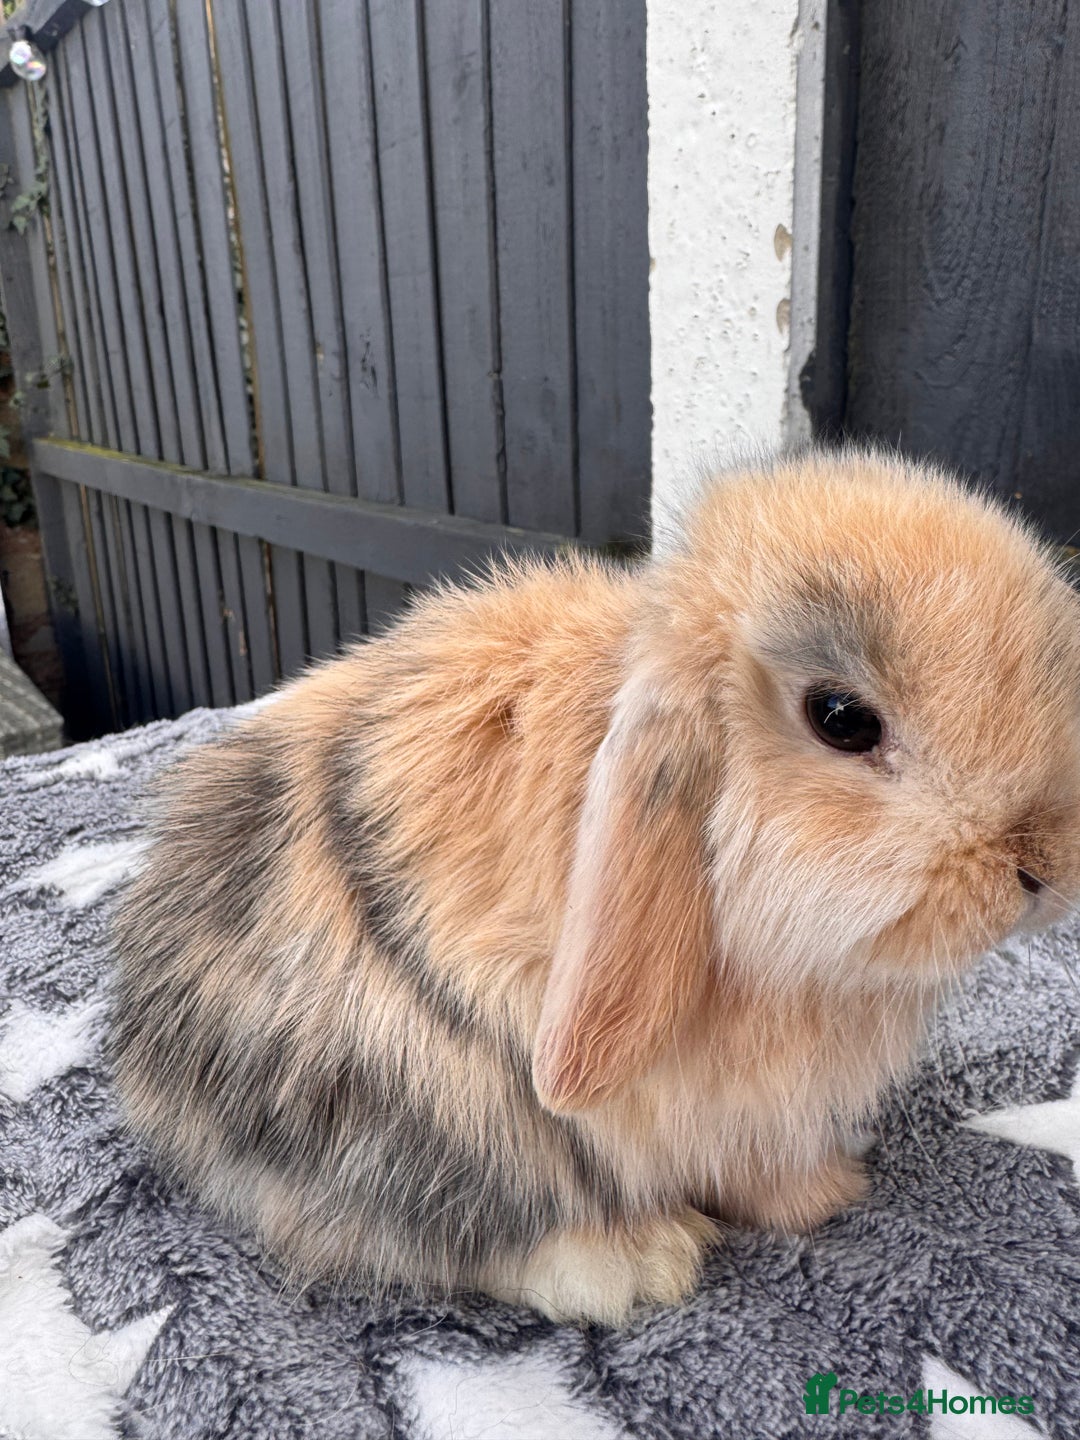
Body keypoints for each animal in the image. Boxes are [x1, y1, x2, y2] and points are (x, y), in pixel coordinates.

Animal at [109, 448, 1080, 1325]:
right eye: (842, 720)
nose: (1041, 870)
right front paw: (804, 1208)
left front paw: (829, 1192)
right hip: (423, 1114)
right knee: (435, 1232)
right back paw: (639, 1261)